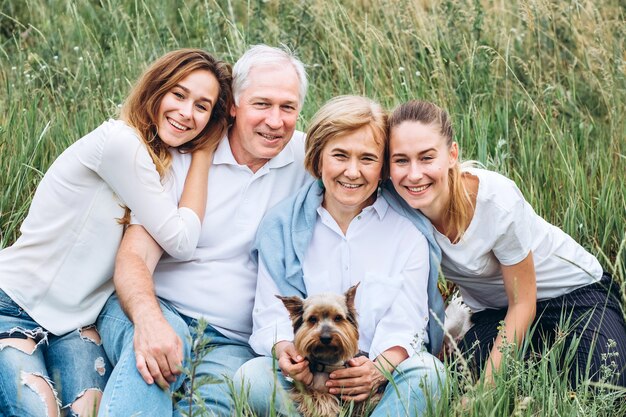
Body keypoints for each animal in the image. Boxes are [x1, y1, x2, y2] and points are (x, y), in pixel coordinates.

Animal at [276, 282, 376, 416]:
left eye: (338, 318)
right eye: (312, 319)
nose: (325, 337)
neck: (327, 360)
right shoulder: (314, 392)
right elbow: (323, 405)